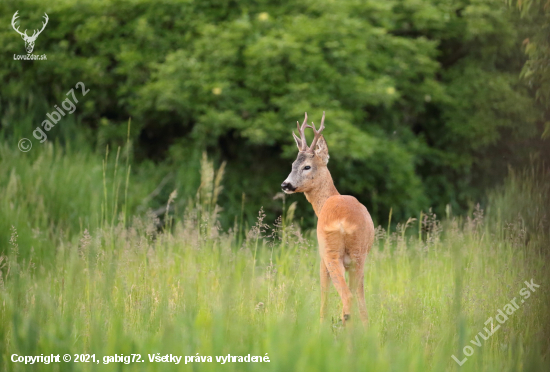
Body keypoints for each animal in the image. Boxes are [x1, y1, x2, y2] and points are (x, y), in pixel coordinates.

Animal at [282, 111, 378, 326]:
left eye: (307, 166)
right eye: (292, 164)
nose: (285, 185)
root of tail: (344, 223)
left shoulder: (321, 255)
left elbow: (324, 294)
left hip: (330, 251)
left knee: (346, 295)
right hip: (359, 254)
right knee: (356, 295)